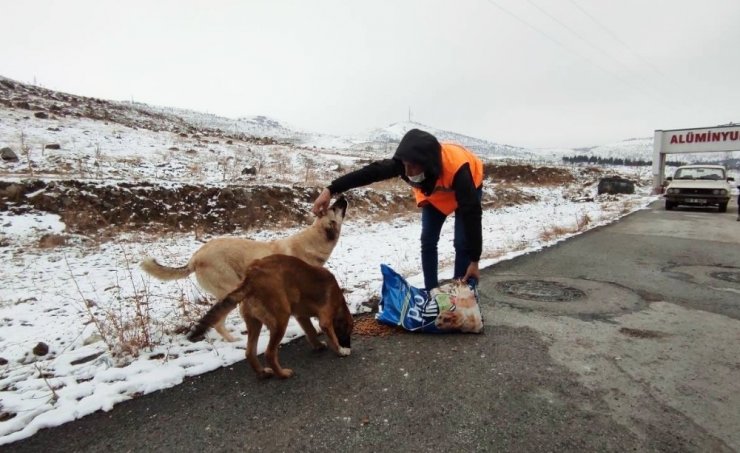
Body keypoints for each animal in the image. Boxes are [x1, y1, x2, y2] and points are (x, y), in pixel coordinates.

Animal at [143, 196, 348, 340]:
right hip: (232, 290)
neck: (312, 240)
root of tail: (195, 257)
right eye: (334, 208)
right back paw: (235, 341)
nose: (343, 197)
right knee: (219, 323)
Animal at [189, 254, 354, 378]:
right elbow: (328, 334)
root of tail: (251, 278)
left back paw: (263, 373)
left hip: (254, 322)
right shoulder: (325, 319)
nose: (348, 346)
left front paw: (318, 345)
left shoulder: (301, 316)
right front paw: (341, 351)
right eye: (347, 332)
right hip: (280, 320)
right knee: (269, 353)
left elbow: (311, 332)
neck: (339, 301)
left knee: (249, 352)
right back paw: (282, 374)